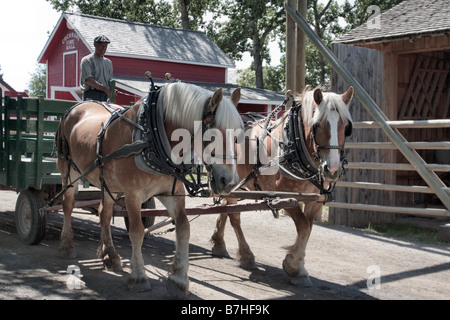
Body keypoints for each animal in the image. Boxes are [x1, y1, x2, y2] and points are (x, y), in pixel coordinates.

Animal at [57, 82, 246, 298]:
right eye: (212, 135)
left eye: (238, 136)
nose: (229, 182)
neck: (152, 137)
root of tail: (79, 105)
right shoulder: (132, 194)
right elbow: (137, 231)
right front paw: (139, 276)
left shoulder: (172, 192)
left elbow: (183, 227)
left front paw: (179, 278)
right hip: (68, 170)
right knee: (68, 205)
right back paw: (66, 245)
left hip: (108, 183)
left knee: (104, 213)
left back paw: (110, 255)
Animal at [209, 86, 354, 286]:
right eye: (317, 125)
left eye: (346, 127)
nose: (331, 170)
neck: (294, 144)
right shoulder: (285, 196)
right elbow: (303, 226)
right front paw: (295, 268)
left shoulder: (316, 200)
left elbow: (308, 227)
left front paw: (297, 265)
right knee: (234, 217)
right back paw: (246, 256)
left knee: (225, 208)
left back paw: (219, 244)